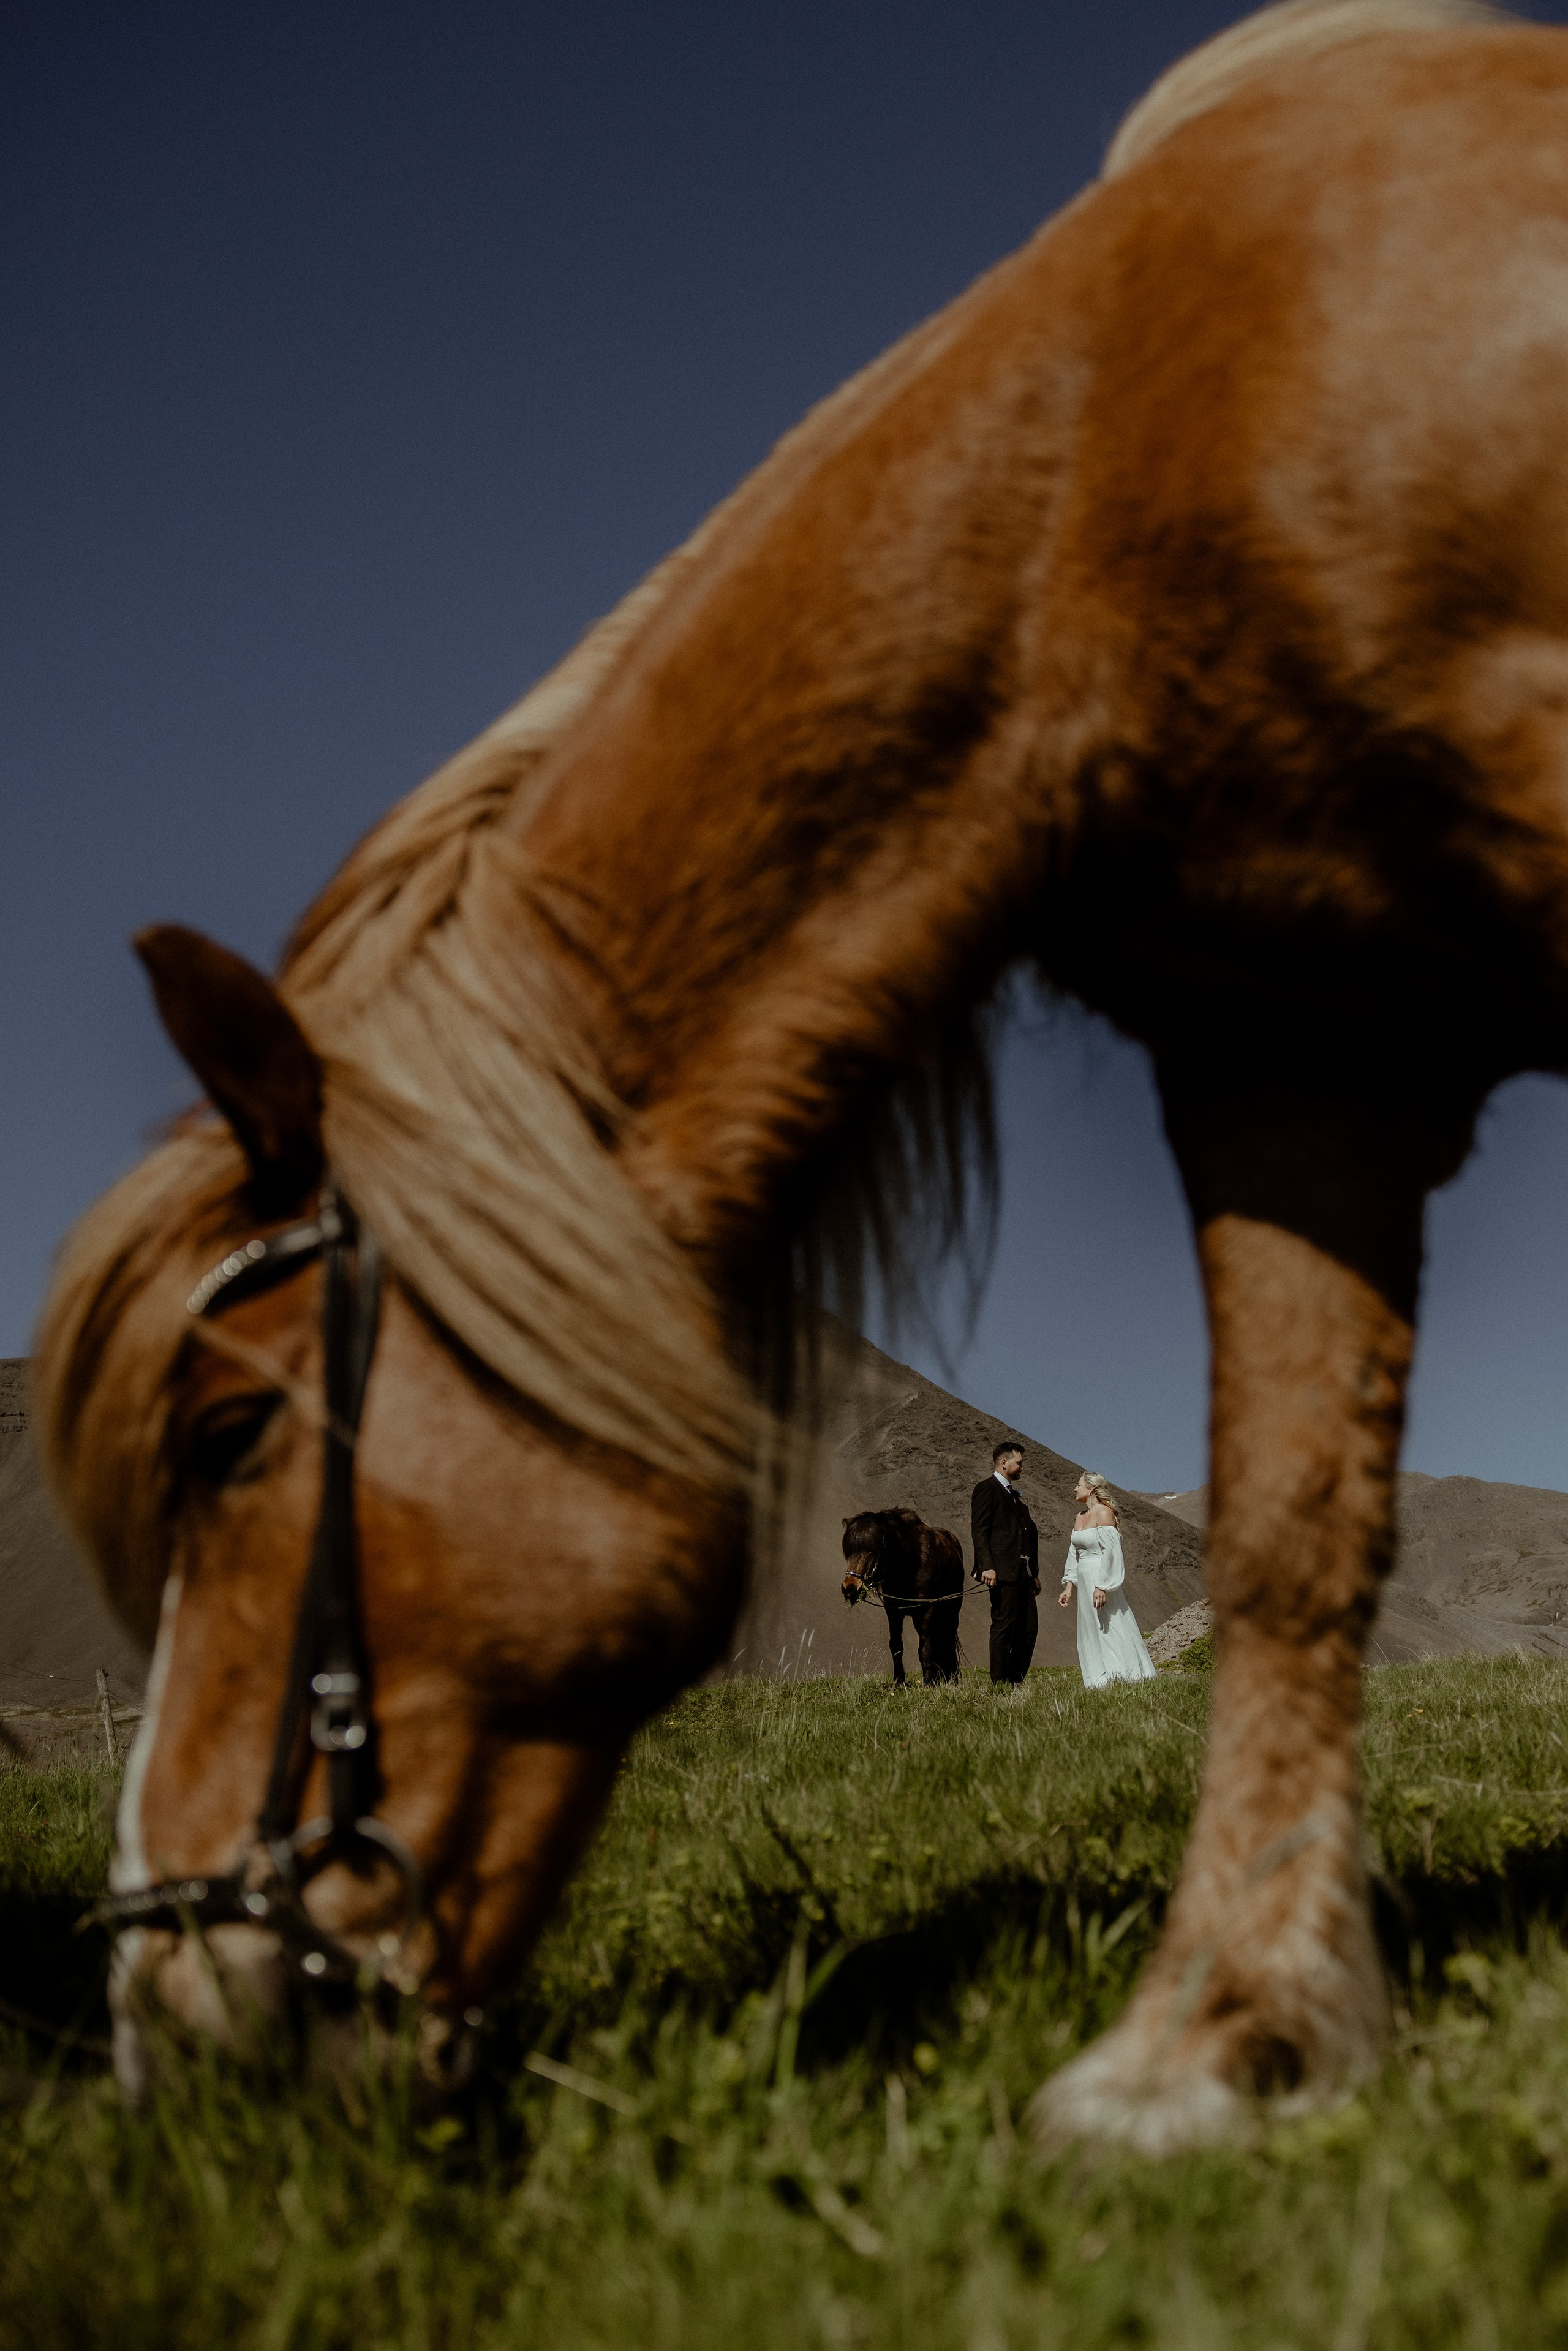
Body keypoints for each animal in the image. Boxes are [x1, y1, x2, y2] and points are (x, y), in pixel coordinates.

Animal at [840, 1508, 966, 1685]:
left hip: (952, 1612)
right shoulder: (893, 1612)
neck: (909, 1566)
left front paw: (928, 1682)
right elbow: (896, 1645)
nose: (849, 1588)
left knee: (947, 1640)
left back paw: (951, 1678)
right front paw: (898, 1680)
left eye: (871, 1550)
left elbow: (925, 1648)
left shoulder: (927, 1611)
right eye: (850, 1551)